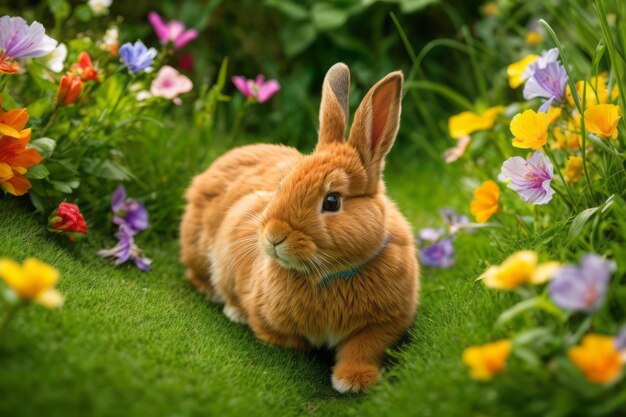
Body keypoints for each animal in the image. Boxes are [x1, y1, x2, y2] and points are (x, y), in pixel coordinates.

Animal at [180, 63, 420, 392]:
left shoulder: (384, 325)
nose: (273, 237)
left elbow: (364, 348)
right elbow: (291, 341)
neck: (330, 275)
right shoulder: (269, 322)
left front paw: (353, 381)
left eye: (332, 202)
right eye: (282, 183)